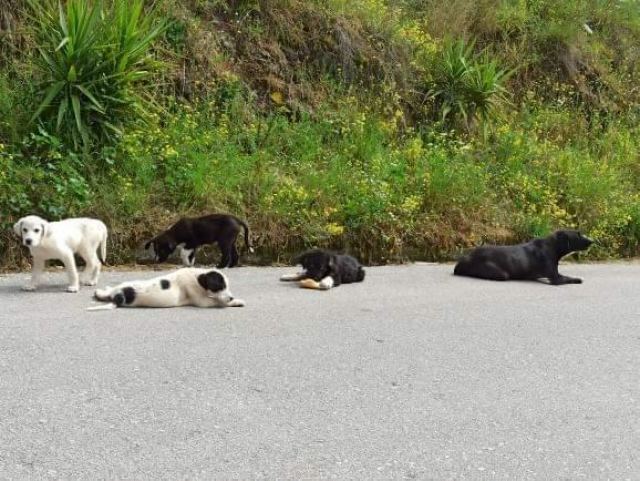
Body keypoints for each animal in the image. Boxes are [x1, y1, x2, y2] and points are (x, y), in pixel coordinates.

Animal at [456, 230, 596, 284]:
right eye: (578, 234)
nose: (592, 241)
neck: (553, 246)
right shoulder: (555, 278)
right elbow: (568, 279)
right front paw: (577, 279)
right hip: (501, 274)